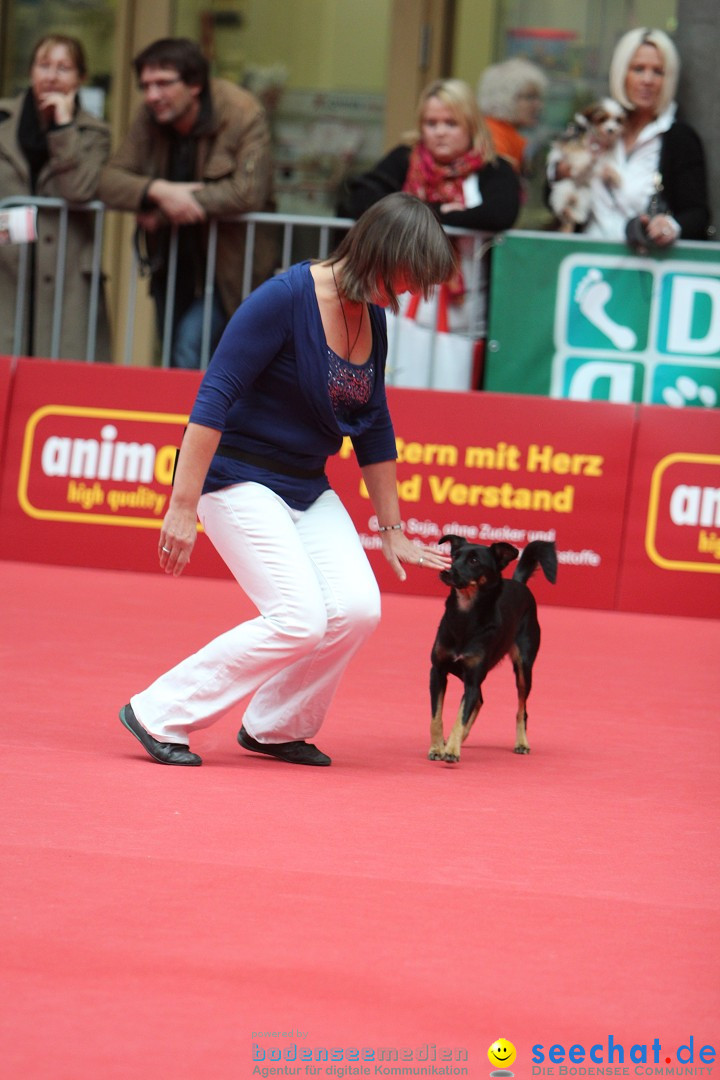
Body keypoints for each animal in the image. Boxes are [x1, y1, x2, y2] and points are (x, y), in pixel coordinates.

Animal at [427, 537, 557, 760]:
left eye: (474, 561)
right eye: (454, 555)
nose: (447, 571)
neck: (465, 616)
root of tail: (519, 583)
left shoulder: (472, 678)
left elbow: (461, 716)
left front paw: (451, 750)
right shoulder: (438, 671)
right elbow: (437, 717)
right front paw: (437, 747)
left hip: (524, 669)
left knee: (521, 710)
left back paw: (521, 742)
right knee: (479, 700)